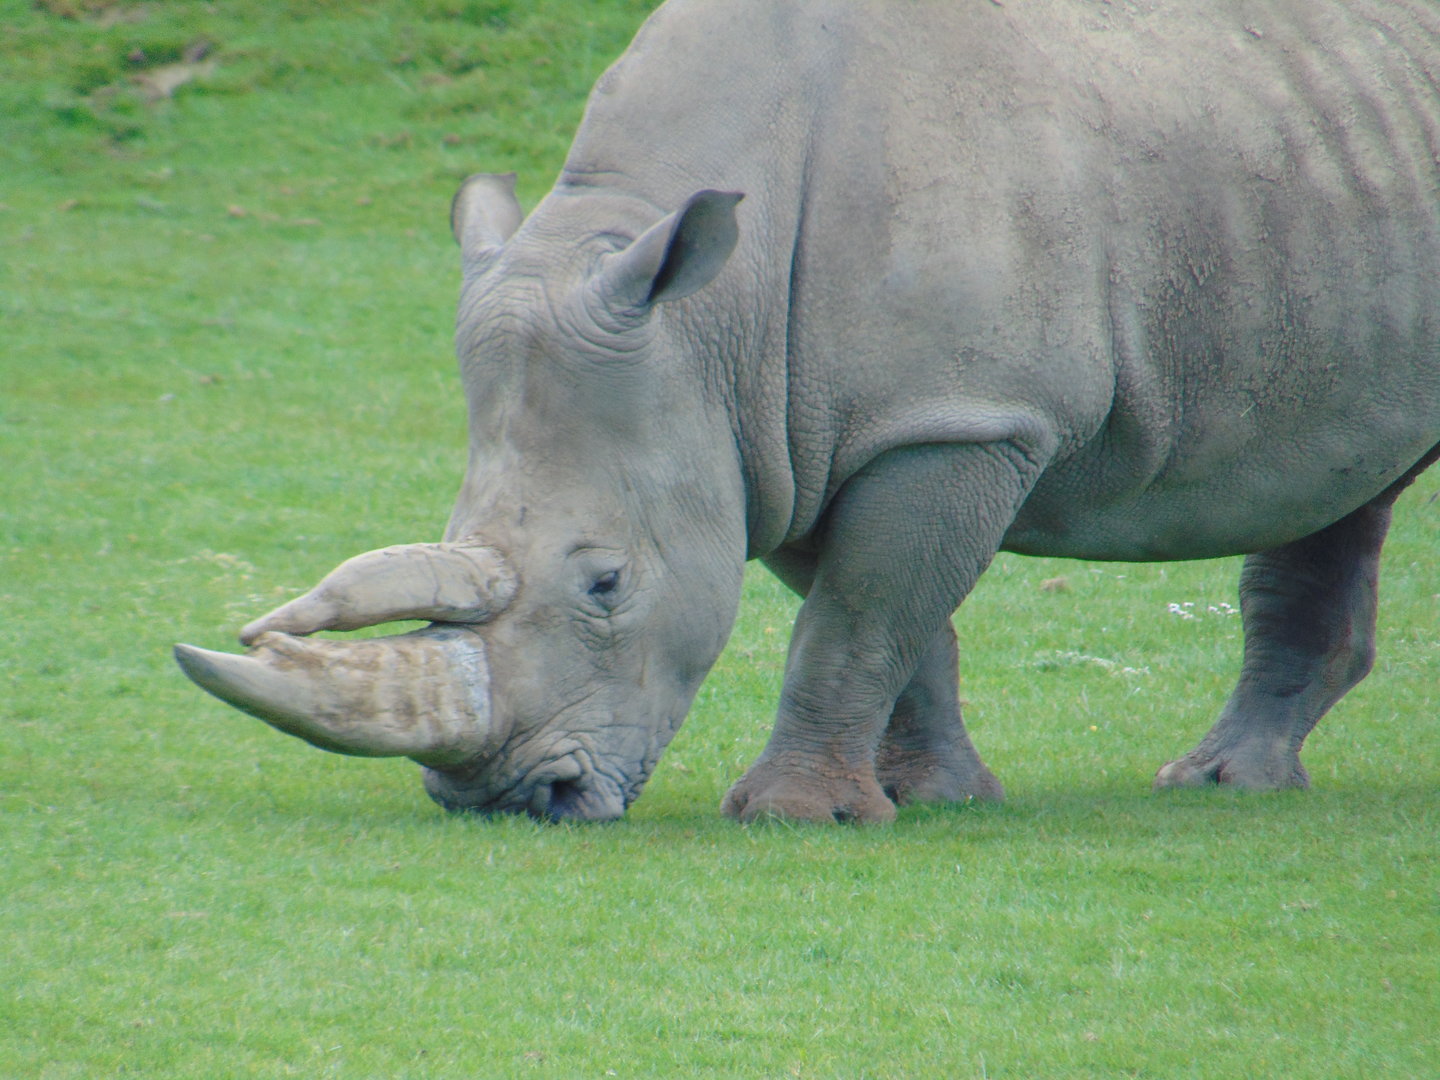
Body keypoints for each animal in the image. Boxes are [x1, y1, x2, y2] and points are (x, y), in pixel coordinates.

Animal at [174, 0, 1440, 823]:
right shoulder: (778, 436)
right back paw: (1227, 785)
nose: (512, 799)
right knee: (1337, 479)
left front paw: (794, 816)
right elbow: (893, 618)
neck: (704, 318)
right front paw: (930, 798)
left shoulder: (955, 415)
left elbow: (860, 616)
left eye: (606, 585)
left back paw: (1215, 787)